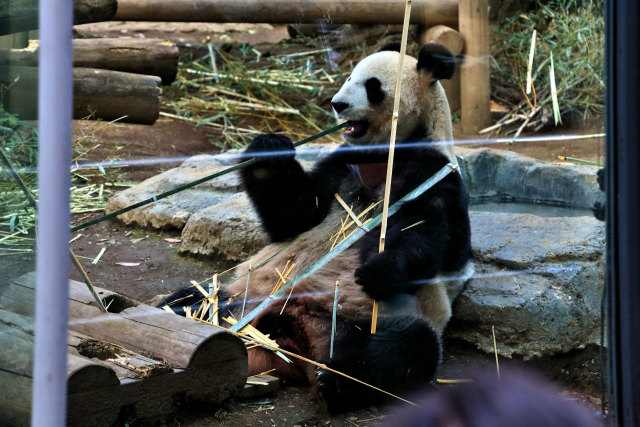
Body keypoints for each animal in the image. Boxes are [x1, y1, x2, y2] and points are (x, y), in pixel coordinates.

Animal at [159, 42, 476, 412]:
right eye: (348, 77)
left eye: (372, 86)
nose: (338, 104)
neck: (383, 154)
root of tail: (293, 338)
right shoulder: (343, 164)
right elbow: (295, 217)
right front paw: (268, 153)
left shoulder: (432, 172)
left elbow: (428, 236)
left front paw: (380, 269)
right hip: (244, 298)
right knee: (194, 299)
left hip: (367, 318)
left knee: (408, 348)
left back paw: (337, 380)